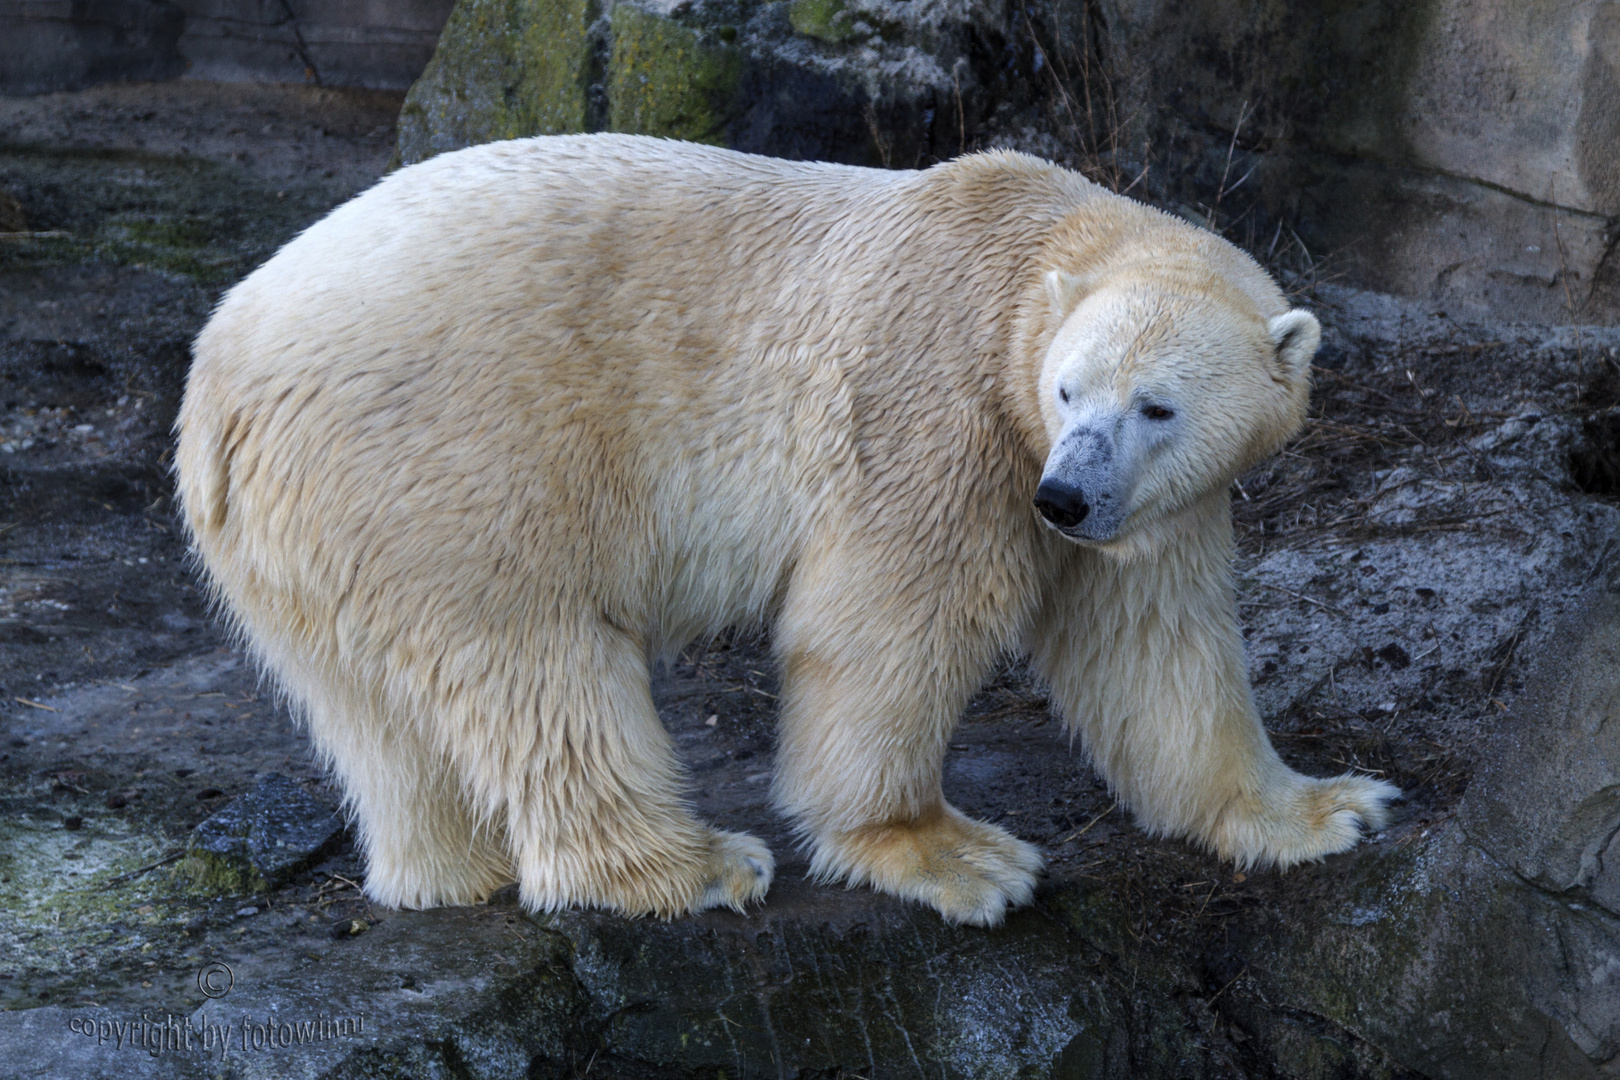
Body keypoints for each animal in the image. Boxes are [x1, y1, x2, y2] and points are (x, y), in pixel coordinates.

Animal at [174, 132, 1393, 932]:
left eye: (1157, 406)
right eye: (1067, 389)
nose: (1068, 499)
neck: (1028, 248)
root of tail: (222, 371)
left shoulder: (1146, 496)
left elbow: (1155, 645)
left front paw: (1326, 807)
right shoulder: (941, 409)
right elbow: (886, 620)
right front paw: (949, 854)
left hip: (307, 524)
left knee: (368, 707)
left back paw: (445, 868)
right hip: (451, 460)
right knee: (536, 662)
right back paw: (691, 867)